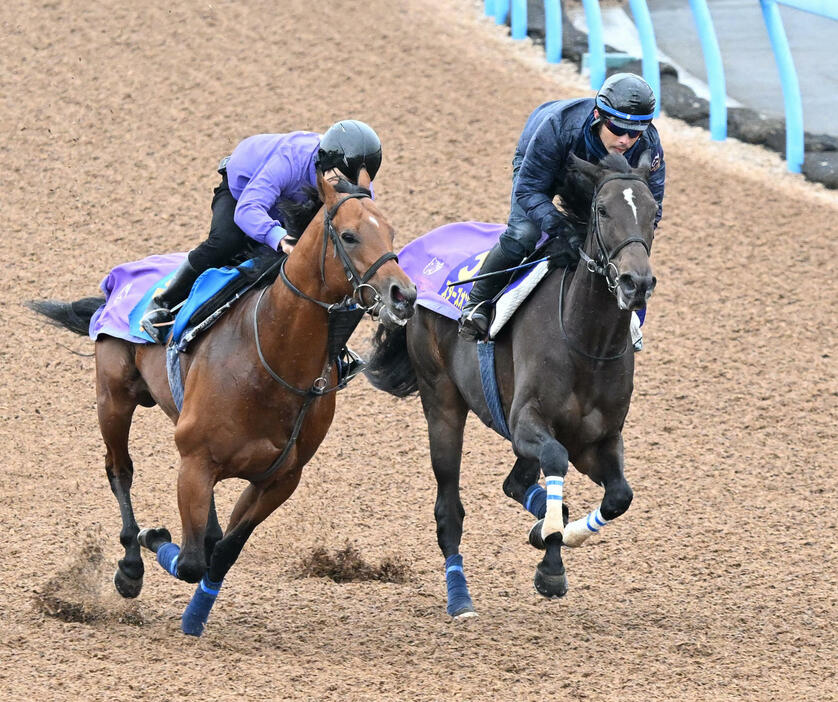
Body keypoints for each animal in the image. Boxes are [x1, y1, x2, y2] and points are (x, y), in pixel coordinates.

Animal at [29, 172, 416, 640]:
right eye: (349, 235)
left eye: (391, 232)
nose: (403, 294)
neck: (270, 356)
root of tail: (116, 282)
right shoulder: (195, 463)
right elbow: (192, 560)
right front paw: (151, 540)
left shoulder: (278, 480)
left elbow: (223, 553)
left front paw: (195, 618)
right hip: (114, 399)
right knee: (120, 471)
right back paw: (131, 564)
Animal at [366, 153, 656, 616]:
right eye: (602, 209)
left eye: (654, 214)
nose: (636, 282)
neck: (586, 341)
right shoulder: (527, 421)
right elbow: (555, 459)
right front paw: (552, 563)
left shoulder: (599, 440)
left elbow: (619, 496)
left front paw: (560, 533)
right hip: (442, 401)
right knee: (449, 510)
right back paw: (460, 598)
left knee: (516, 483)